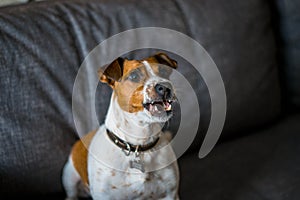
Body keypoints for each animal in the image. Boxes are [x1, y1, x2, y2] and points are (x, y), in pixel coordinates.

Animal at [62, 52, 179, 200]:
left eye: (164, 71)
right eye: (134, 76)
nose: (165, 87)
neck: (139, 144)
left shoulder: (170, 194)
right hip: (69, 175)